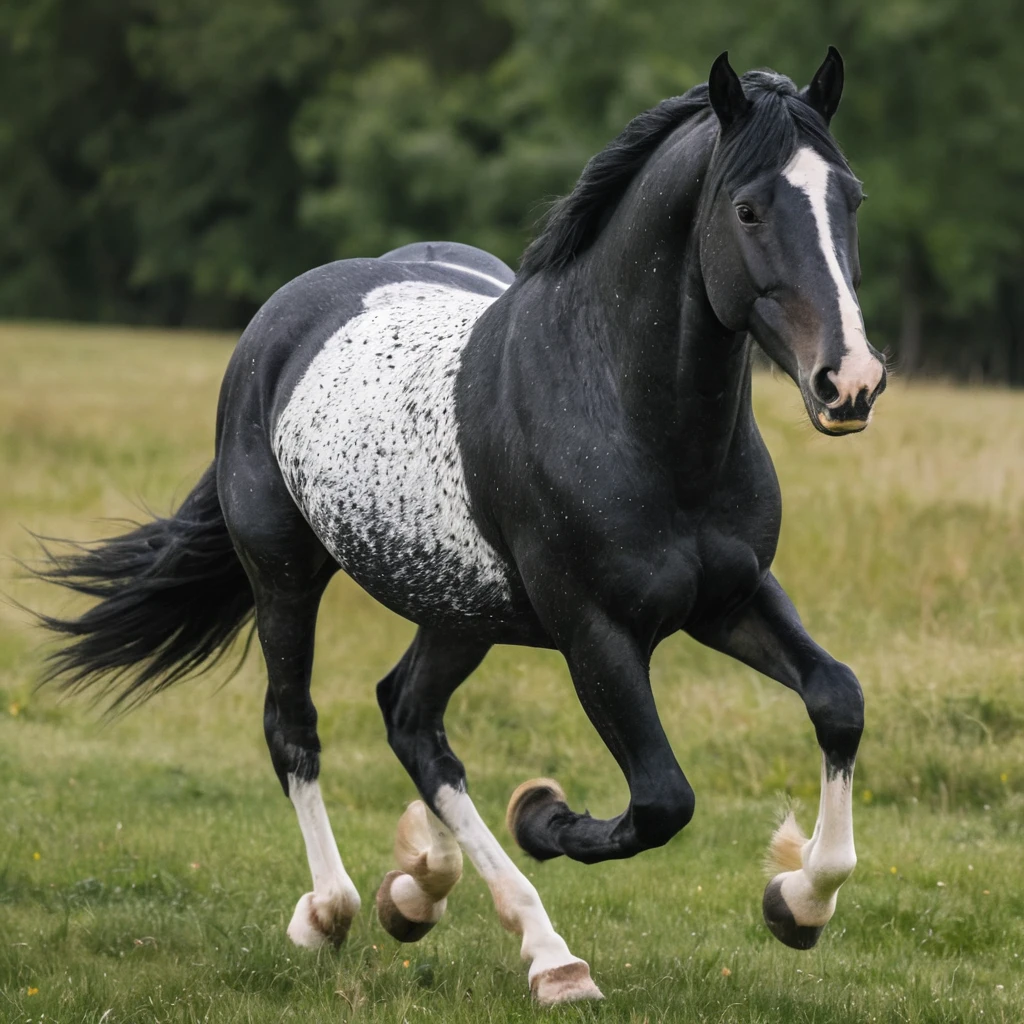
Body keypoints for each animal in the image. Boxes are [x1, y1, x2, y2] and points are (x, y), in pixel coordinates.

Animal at [33, 49, 886, 1006]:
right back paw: (367, 918)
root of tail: (280, 320)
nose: (850, 382)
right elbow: (662, 801)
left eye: (850, 198)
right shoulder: (596, 635)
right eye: (747, 209)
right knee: (297, 728)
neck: (627, 414)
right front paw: (544, 815)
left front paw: (797, 902)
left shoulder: (731, 598)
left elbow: (837, 699)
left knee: (412, 720)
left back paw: (427, 895)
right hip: (284, 573)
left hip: (457, 610)